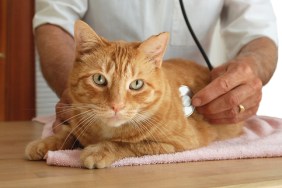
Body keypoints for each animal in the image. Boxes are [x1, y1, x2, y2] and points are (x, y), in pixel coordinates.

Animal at [24, 20, 242, 169]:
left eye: (136, 84)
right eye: (99, 79)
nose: (116, 105)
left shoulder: (178, 143)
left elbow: (131, 145)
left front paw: (99, 150)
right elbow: (67, 133)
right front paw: (45, 142)